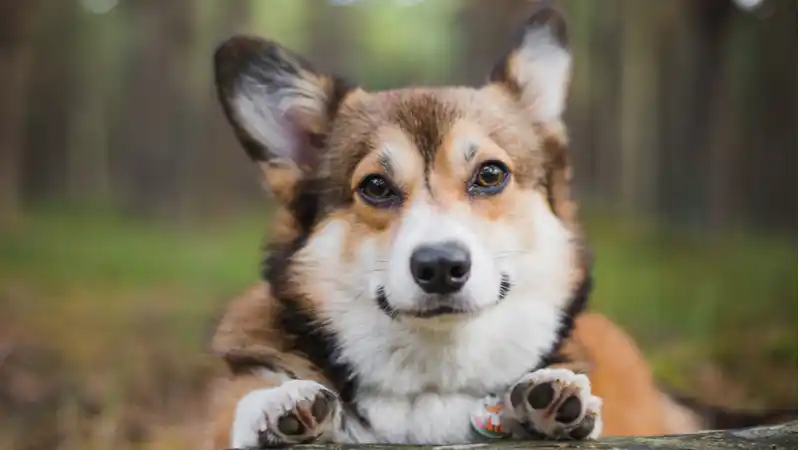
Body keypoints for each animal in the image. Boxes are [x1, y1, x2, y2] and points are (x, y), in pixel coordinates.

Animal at [205, 4, 792, 450]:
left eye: (490, 174)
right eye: (374, 186)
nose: (441, 266)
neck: (436, 382)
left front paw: (546, 405)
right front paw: (276, 407)